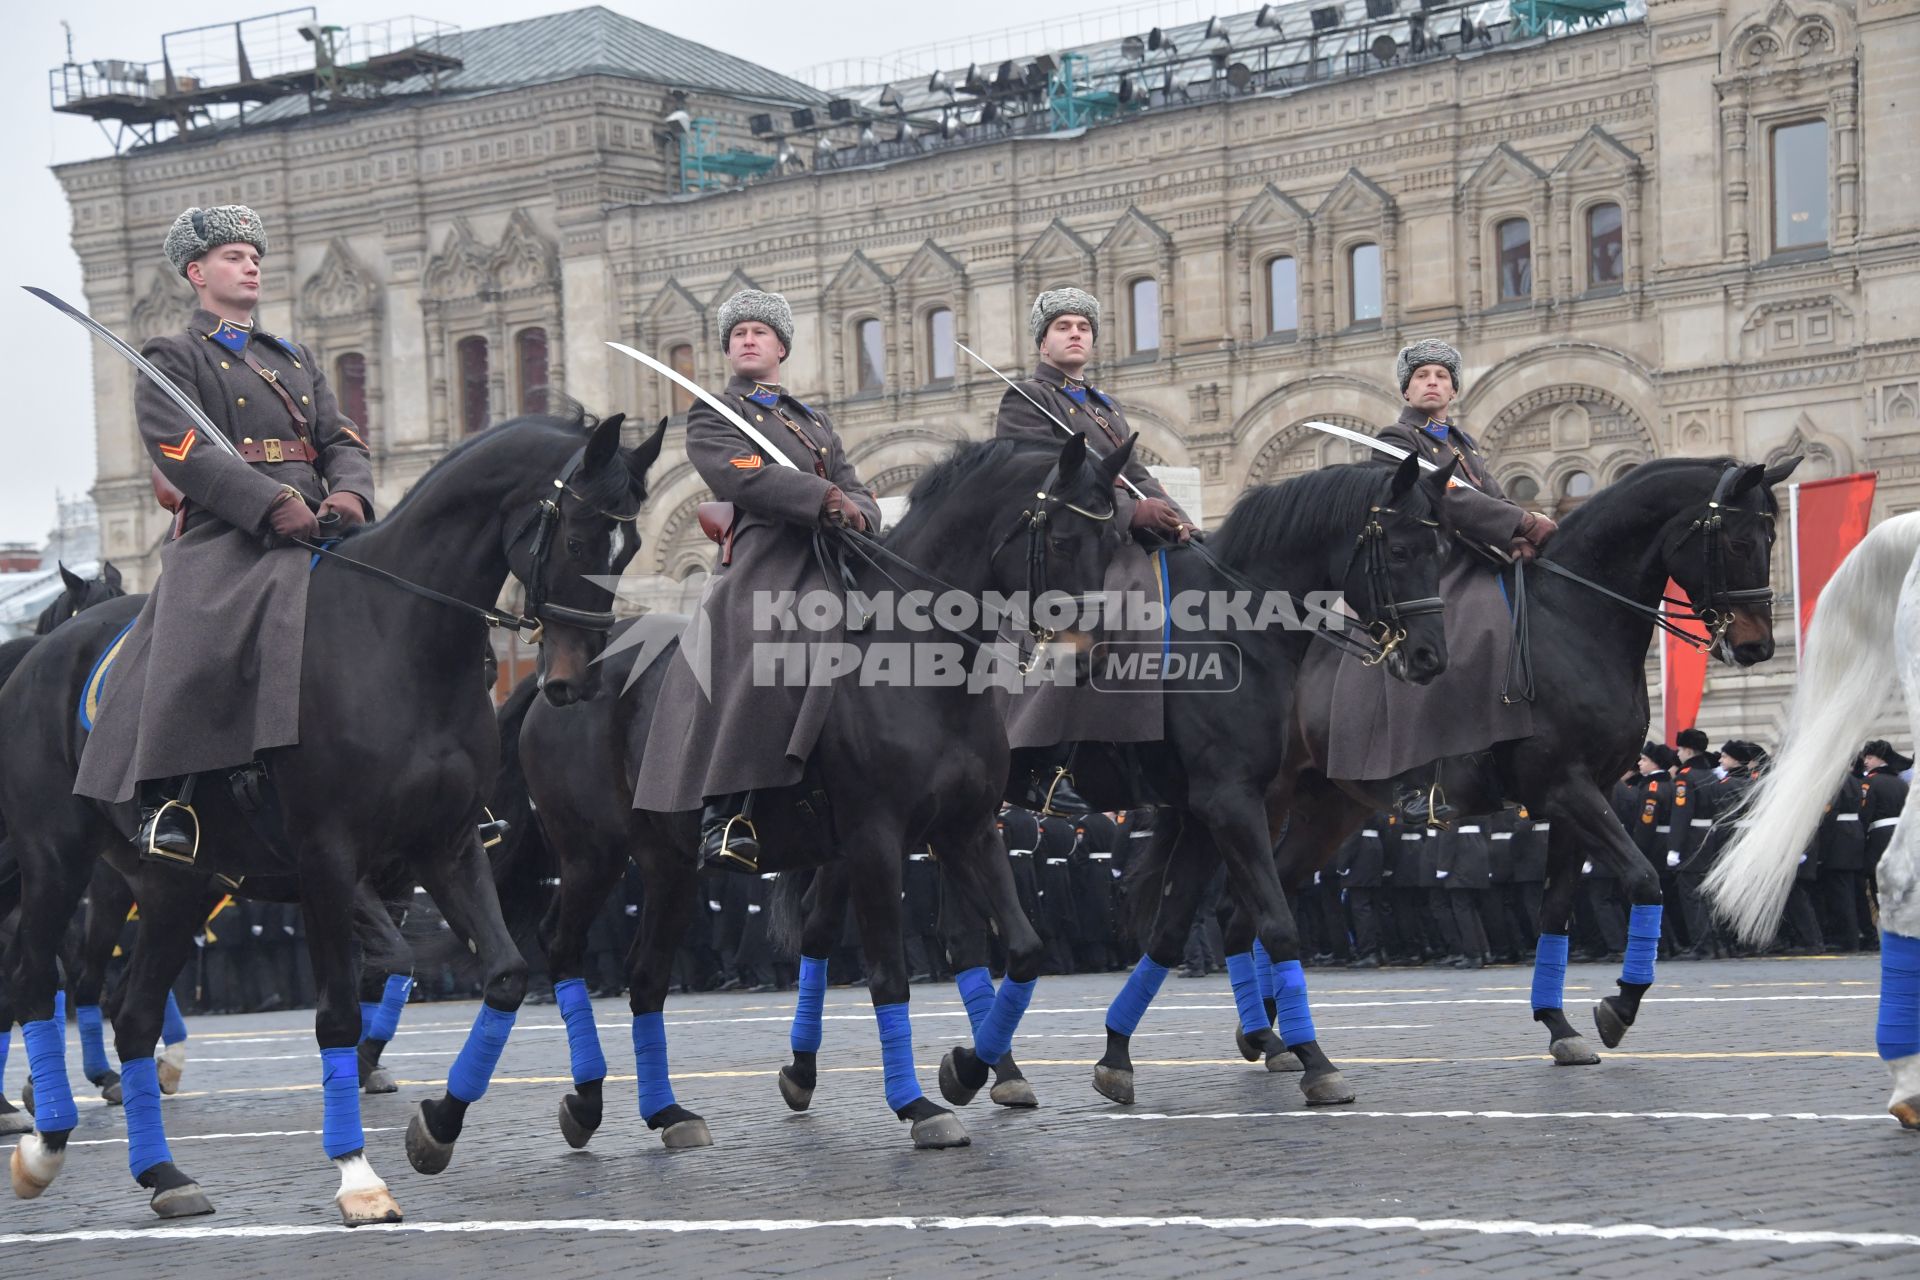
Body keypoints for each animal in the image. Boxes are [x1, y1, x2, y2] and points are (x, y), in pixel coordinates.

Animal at [1, 408, 660, 1220]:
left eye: (627, 550)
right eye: (575, 541)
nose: (576, 681)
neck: (397, 641)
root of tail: (37, 658)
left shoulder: (444, 846)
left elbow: (502, 973)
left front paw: (437, 1127)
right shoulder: (328, 859)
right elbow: (339, 1011)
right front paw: (357, 1175)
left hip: (172, 883)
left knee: (132, 1012)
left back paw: (163, 1172)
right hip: (58, 863)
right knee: (37, 981)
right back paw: (44, 1142)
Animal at [518, 429, 1128, 1151]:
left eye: (1117, 539)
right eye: (1061, 538)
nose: (1092, 656)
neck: (919, 666)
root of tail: (557, 678)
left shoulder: (967, 832)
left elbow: (1022, 950)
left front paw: (967, 1069)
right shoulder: (876, 841)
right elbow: (889, 973)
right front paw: (919, 1105)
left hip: (667, 863)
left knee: (646, 977)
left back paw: (669, 1113)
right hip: (594, 857)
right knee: (562, 948)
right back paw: (583, 1100)